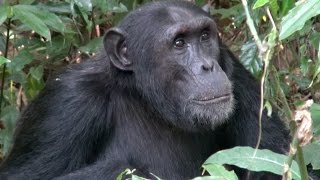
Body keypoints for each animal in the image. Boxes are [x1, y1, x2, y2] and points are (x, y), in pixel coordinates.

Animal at [0, 0, 290, 179]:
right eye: (179, 43)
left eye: (205, 36)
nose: (207, 66)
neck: (145, 98)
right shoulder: (64, 106)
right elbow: (24, 175)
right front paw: (138, 171)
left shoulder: (232, 68)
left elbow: (275, 155)